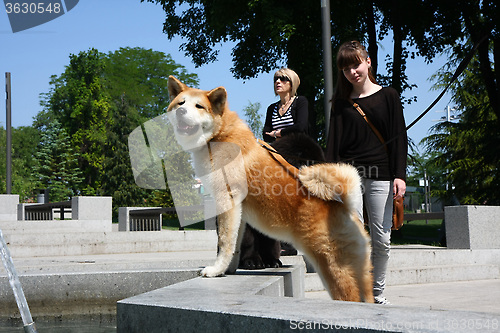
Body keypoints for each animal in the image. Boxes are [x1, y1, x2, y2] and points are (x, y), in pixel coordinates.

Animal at [166, 76, 374, 300]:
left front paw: (215, 270)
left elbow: (224, 242)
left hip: (333, 269)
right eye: (180, 103)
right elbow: (235, 244)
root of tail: (344, 206)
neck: (220, 135)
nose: (181, 111)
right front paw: (228, 269)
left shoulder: (226, 200)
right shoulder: (238, 211)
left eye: (199, 106)